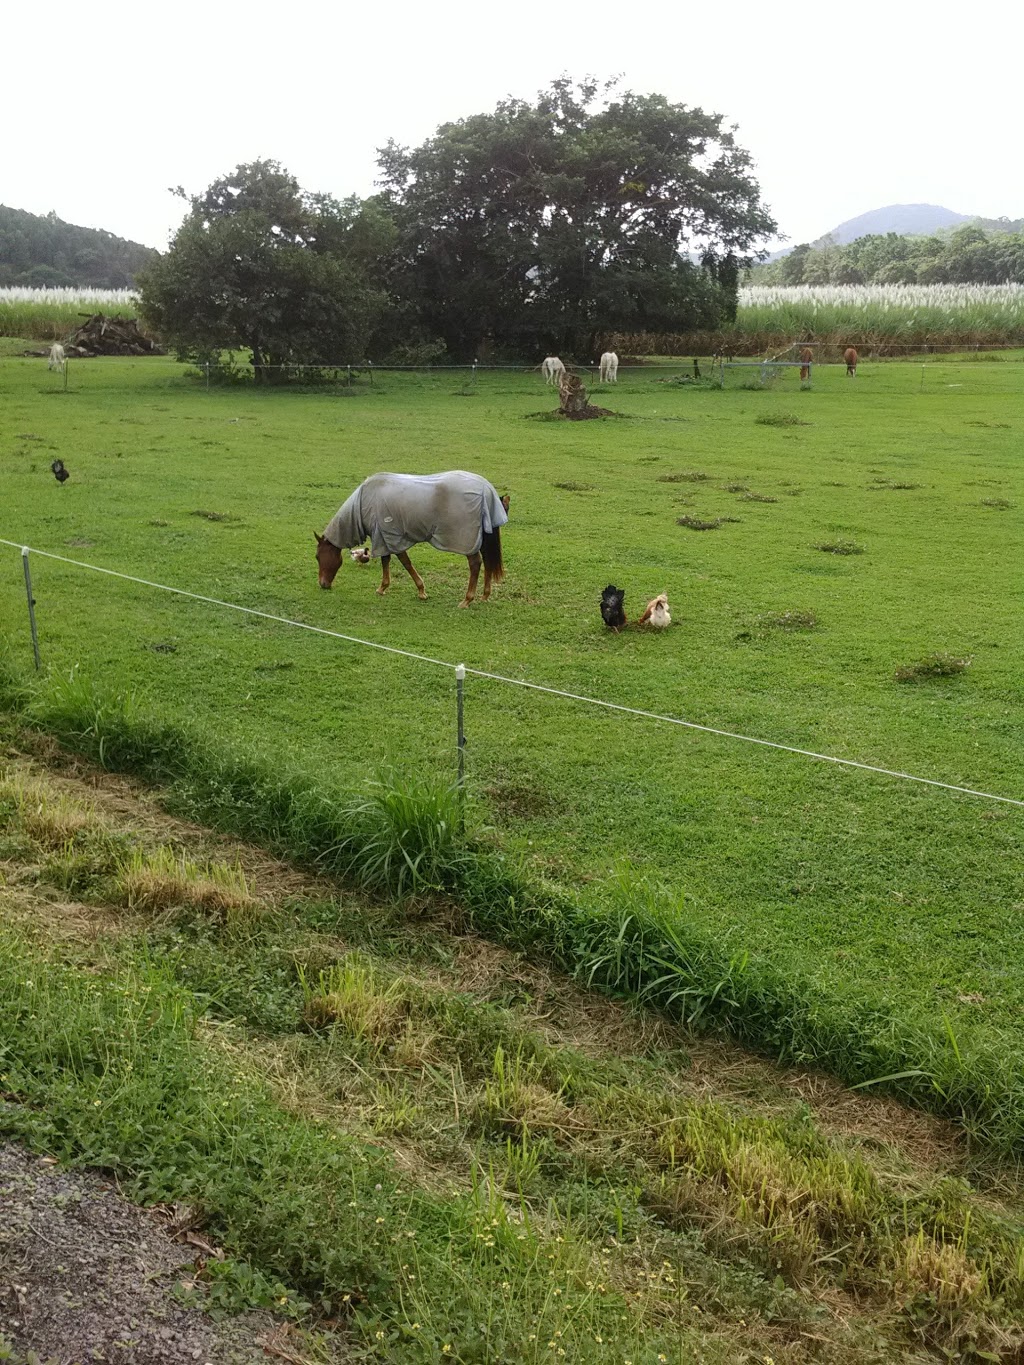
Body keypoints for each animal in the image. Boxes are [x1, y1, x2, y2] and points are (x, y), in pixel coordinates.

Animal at [311, 475, 507, 614]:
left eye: (318, 557)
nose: (323, 584)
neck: (363, 502)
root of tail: (487, 490)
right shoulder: (385, 537)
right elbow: (388, 560)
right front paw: (384, 587)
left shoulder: (389, 537)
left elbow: (404, 562)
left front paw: (419, 591)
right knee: (488, 561)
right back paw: (485, 595)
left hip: (467, 541)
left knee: (476, 564)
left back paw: (467, 600)